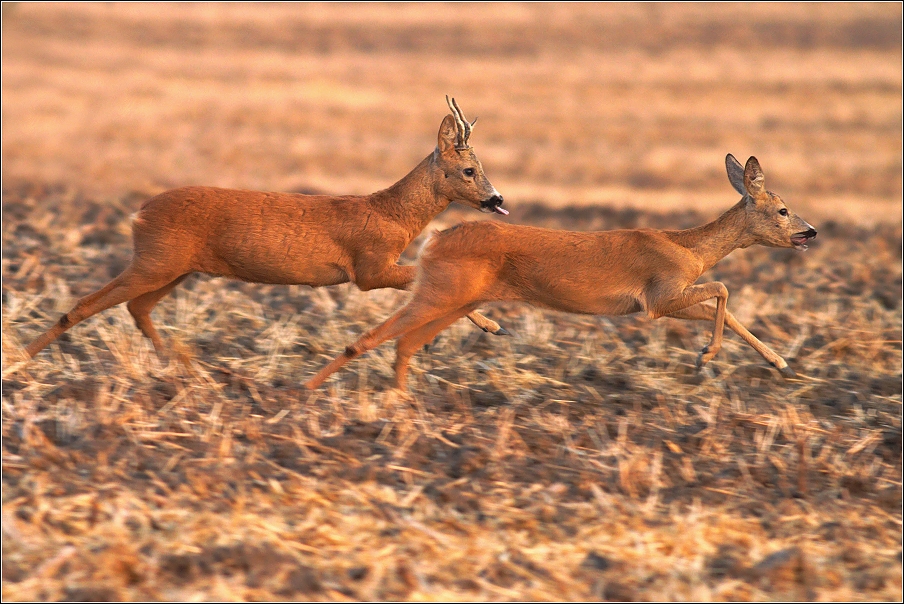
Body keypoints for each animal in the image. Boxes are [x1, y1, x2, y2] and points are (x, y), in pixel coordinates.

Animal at [24, 95, 512, 358]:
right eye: (469, 170)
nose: (497, 200)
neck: (390, 213)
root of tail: (138, 213)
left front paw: (490, 327)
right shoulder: (368, 268)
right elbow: (422, 279)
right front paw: (492, 325)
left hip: (175, 266)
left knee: (136, 308)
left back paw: (180, 367)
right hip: (156, 260)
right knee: (86, 304)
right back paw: (22, 360)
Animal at [306, 155, 820, 392]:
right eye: (782, 209)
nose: (810, 231)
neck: (688, 248)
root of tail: (434, 240)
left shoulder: (663, 301)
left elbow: (725, 308)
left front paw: (779, 363)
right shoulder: (659, 296)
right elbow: (723, 288)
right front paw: (706, 356)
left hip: (456, 296)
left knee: (405, 343)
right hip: (442, 291)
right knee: (375, 336)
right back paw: (310, 390)